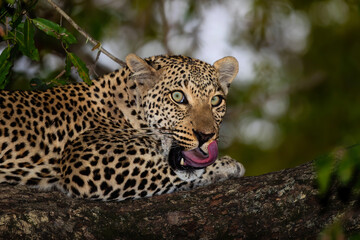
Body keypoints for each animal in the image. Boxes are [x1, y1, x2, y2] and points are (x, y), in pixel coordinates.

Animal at [0, 54, 245, 201]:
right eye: (178, 97)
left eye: (216, 101)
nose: (206, 136)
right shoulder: (88, 163)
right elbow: (167, 171)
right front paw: (226, 165)